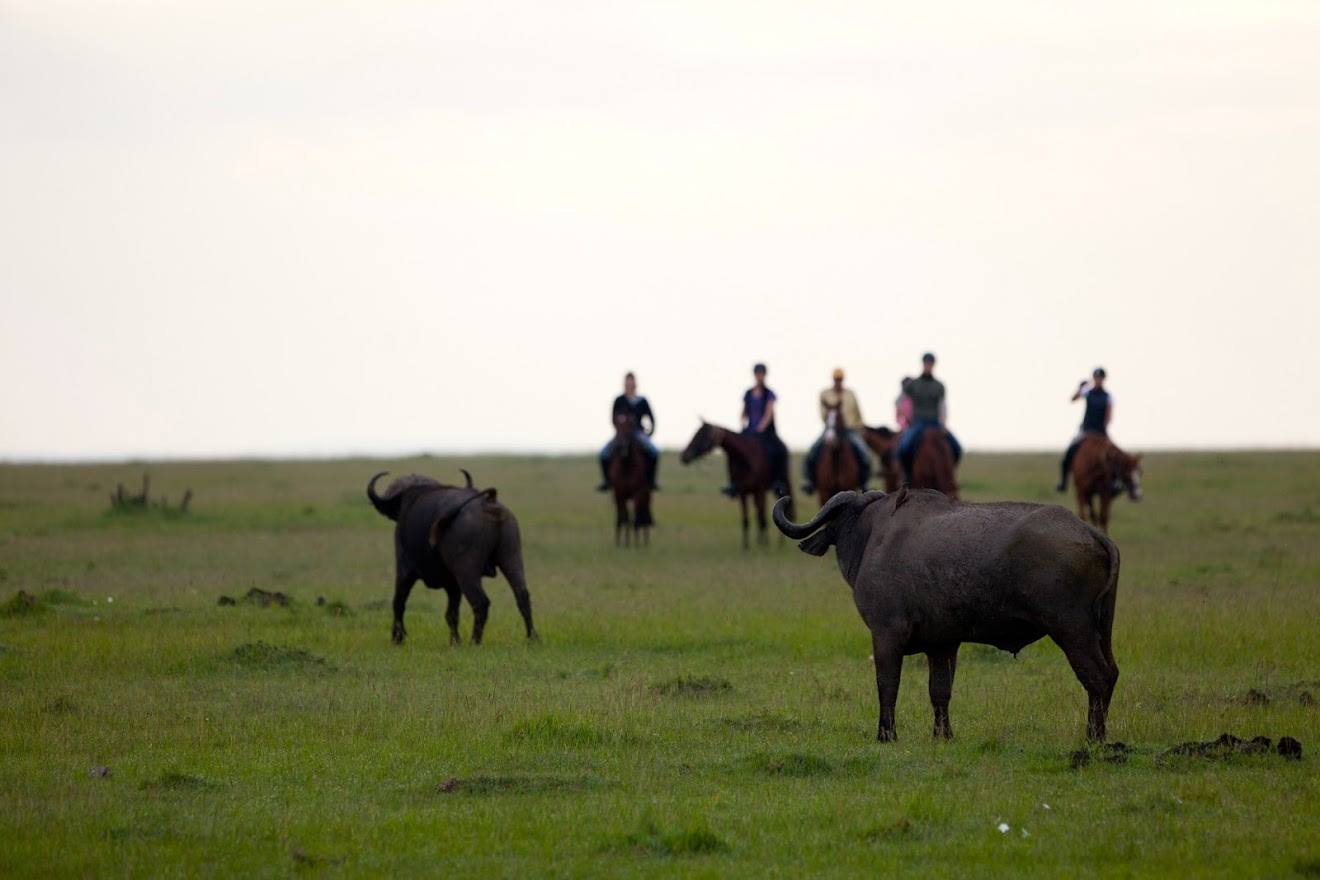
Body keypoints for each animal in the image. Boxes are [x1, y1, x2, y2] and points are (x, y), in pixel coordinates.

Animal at [607, 413, 653, 546]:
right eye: (617, 428)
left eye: (630, 429)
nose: (623, 446)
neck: (626, 466)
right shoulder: (619, 494)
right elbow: (624, 517)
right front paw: (623, 543)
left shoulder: (638, 493)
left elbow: (636, 517)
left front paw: (636, 543)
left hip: (645, 494)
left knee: (643, 514)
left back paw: (644, 541)